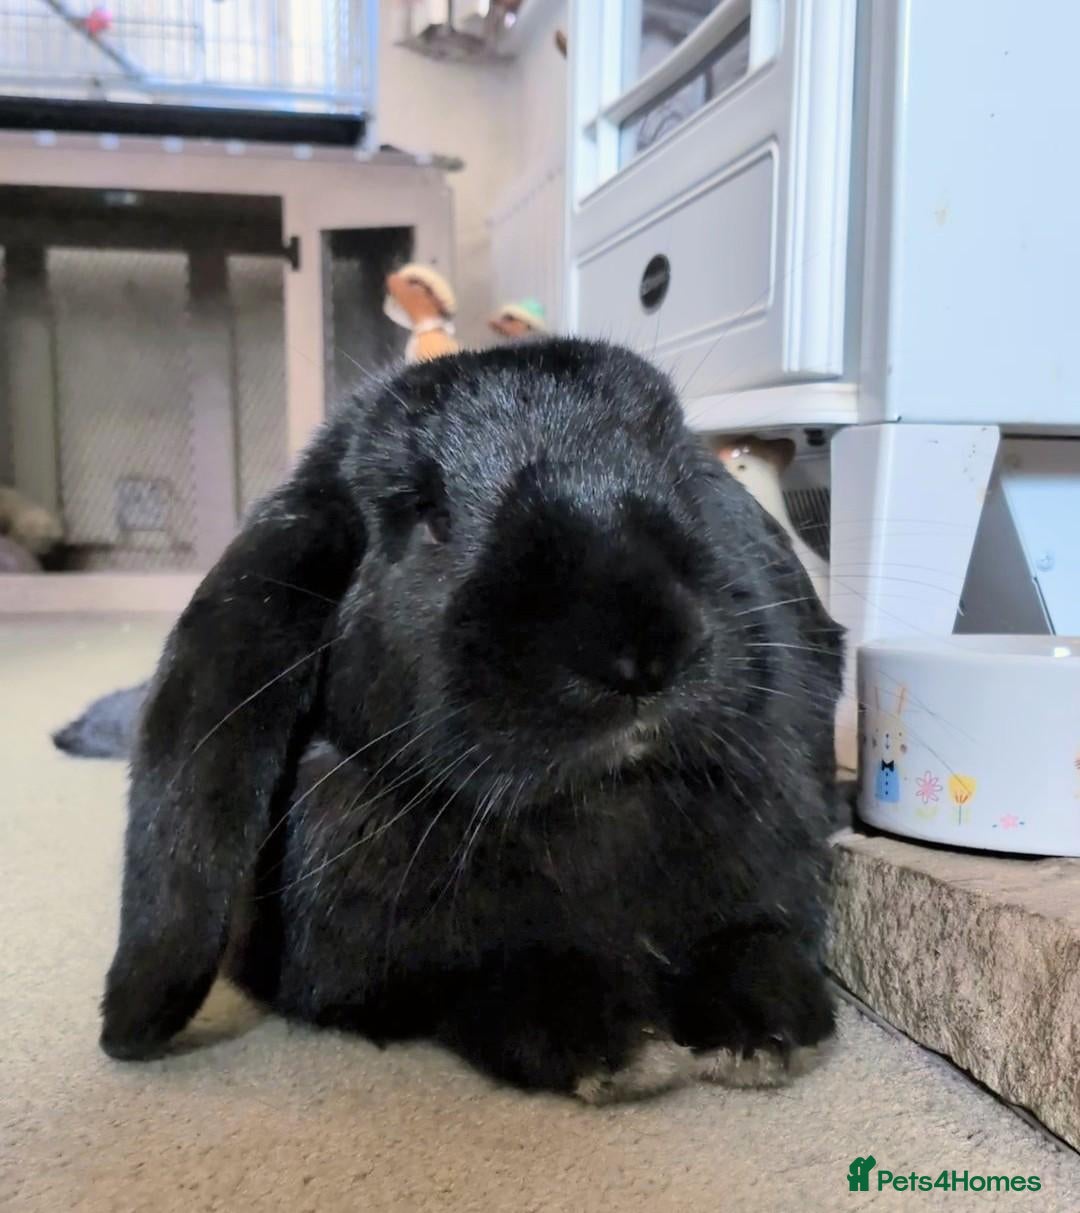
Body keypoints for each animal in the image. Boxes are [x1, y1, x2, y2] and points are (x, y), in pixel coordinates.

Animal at [100, 338, 845, 1102]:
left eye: (680, 477)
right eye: (428, 516)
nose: (640, 651)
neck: (603, 804)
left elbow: (756, 941)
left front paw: (765, 1031)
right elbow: (493, 981)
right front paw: (622, 1048)